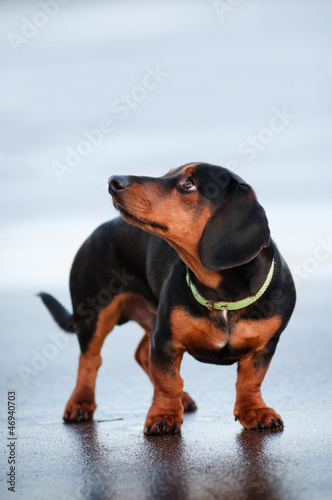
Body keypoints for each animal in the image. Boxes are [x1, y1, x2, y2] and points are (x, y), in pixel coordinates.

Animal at [39, 162, 296, 436]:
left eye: (188, 184)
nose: (113, 181)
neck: (222, 296)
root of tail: (98, 231)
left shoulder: (264, 347)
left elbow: (250, 381)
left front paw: (254, 411)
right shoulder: (164, 340)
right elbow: (168, 380)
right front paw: (163, 415)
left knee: (140, 354)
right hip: (95, 313)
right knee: (90, 360)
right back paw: (80, 403)